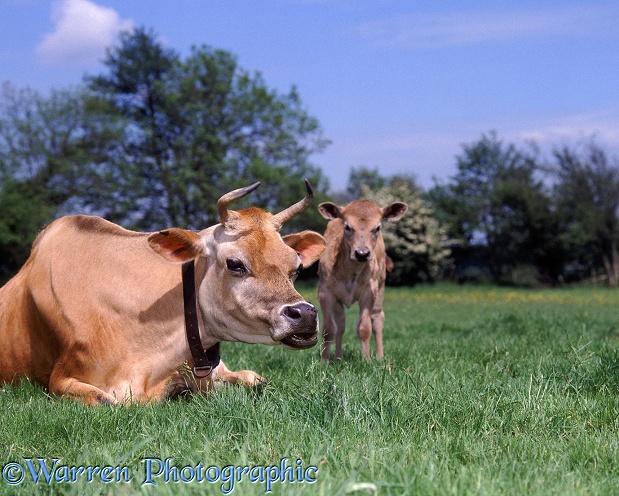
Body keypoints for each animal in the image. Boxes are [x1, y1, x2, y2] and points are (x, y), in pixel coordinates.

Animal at [0, 180, 324, 404]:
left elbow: (252, 379)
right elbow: (106, 401)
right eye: (235, 264)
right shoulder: (63, 377)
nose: (305, 313)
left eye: (296, 267)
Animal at [318, 198, 410, 360]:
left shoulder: (369, 291)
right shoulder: (325, 292)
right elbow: (329, 329)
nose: (362, 253)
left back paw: (379, 357)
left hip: (381, 286)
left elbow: (364, 328)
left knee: (377, 319)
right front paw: (324, 361)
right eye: (347, 226)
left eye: (377, 228)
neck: (350, 271)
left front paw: (366, 359)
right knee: (340, 324)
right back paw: (337, 357)